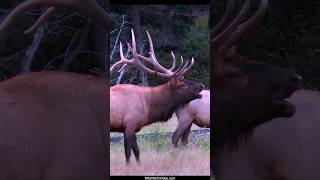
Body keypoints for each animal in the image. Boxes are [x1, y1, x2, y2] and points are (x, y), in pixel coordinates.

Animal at [111, 29, 204, 165]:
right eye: (183, 84)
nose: (202, 85)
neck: (148, 106)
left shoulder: (133, 127)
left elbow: (137, 152)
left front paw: (139, 166)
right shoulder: (129, 124)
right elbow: (128, 153)